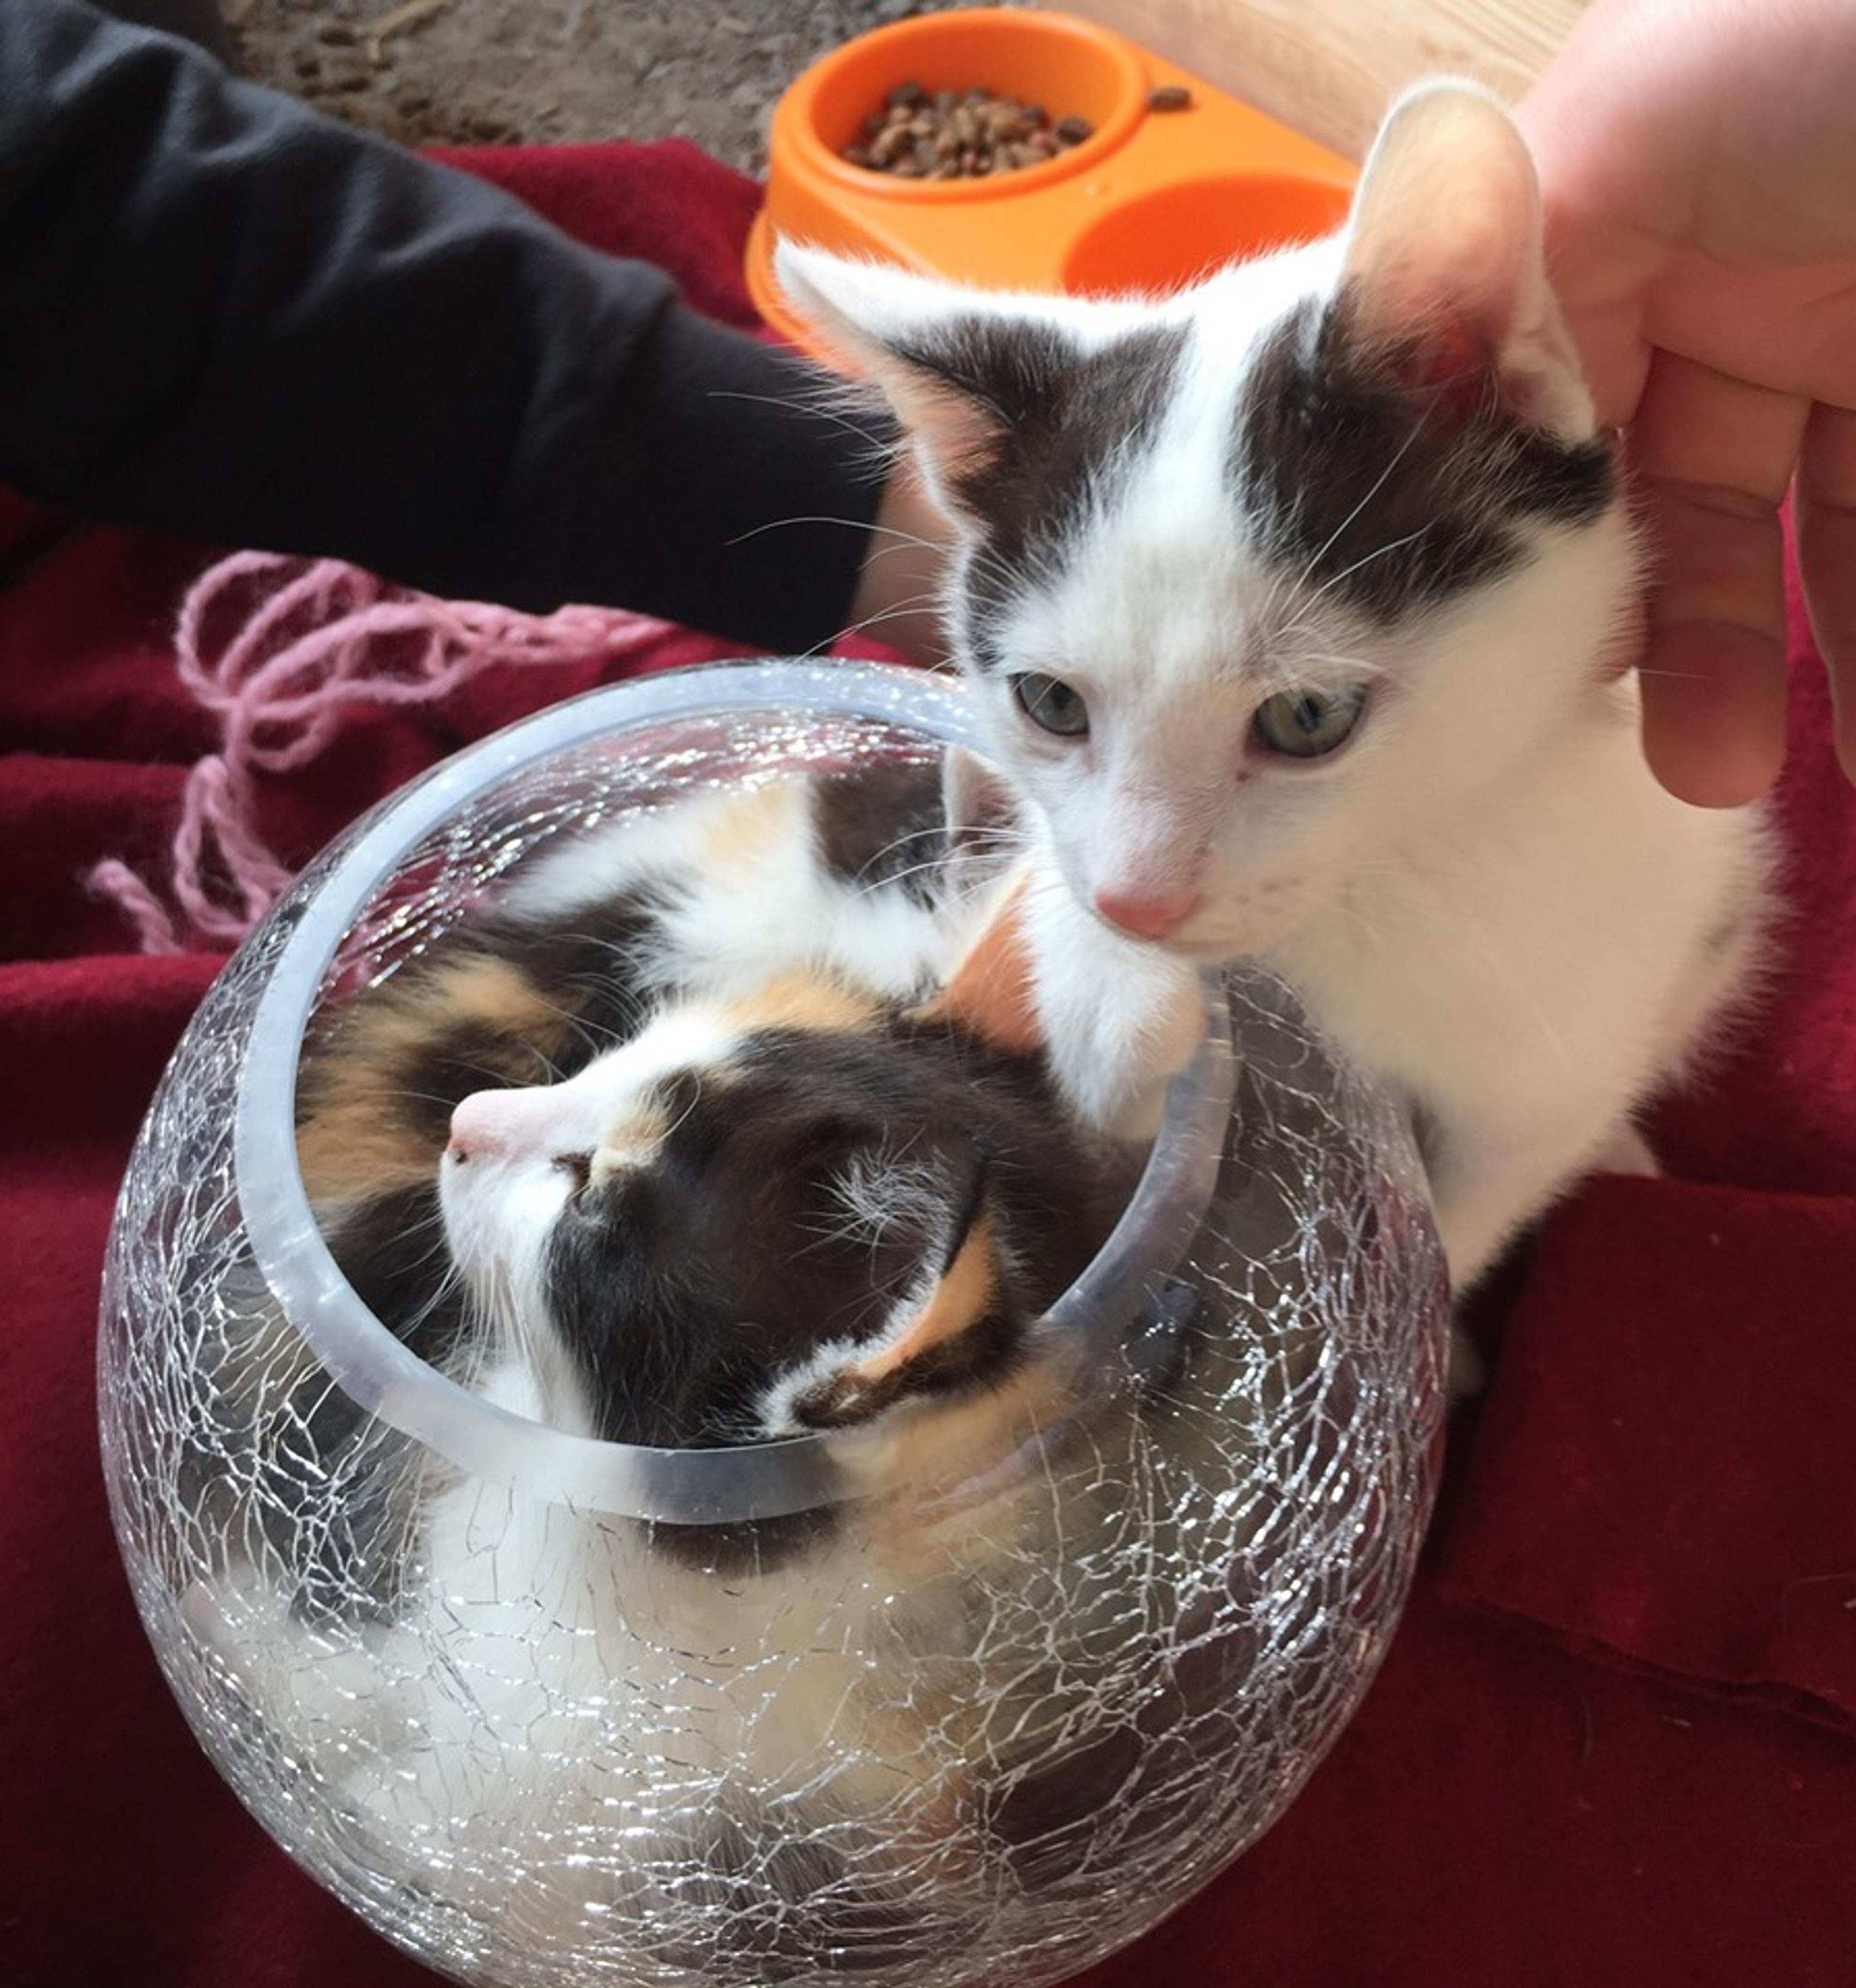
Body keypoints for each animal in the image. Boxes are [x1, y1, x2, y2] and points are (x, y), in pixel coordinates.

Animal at [775, 79, 1773, 1309]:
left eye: (1308, 718)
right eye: (1050, 702)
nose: (1134, 903)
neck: (1375, 883)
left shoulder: (1557, 1048)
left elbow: (1473, 1204)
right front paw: (1107, 989)